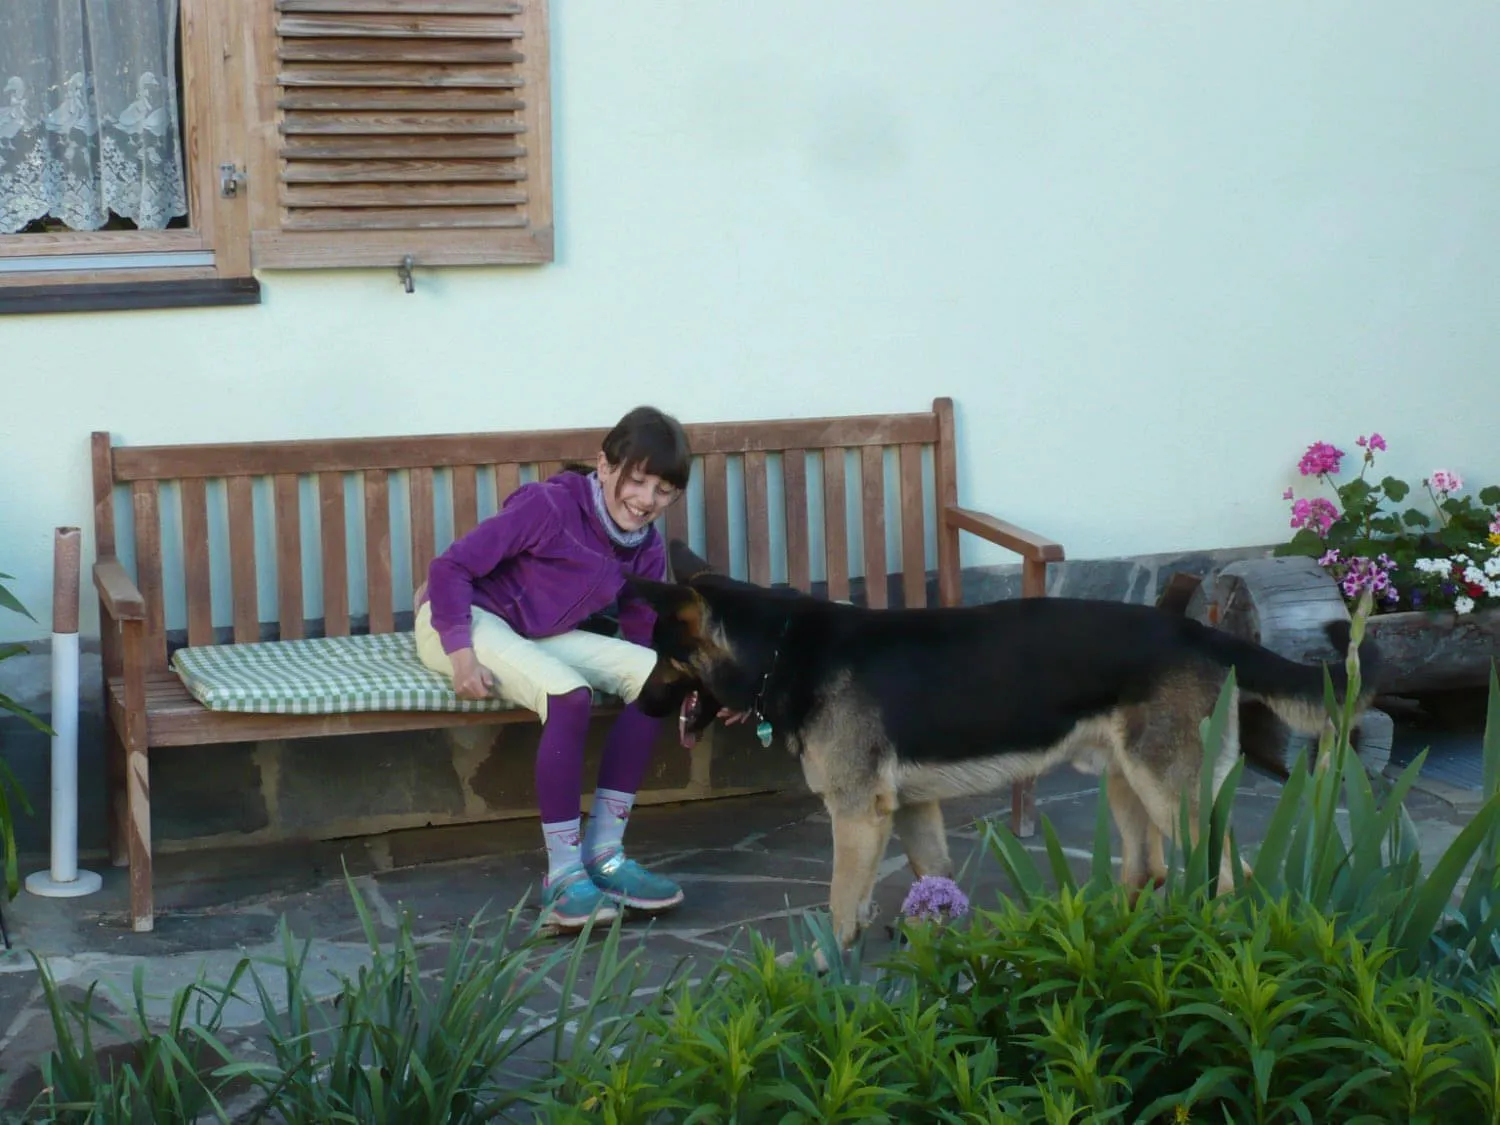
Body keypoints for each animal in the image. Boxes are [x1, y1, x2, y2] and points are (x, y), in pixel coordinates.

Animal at [629, 545, 1380, 954]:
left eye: (665, 656)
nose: (639, 706)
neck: (781, 649)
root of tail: (1202, 632)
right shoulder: (910, 811)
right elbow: (933, 886)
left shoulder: (859, 816)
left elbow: (842, 910)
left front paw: (824, 982)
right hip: (1129, 784)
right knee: (1150, 870)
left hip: (1171, 794)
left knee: (1227, 878)